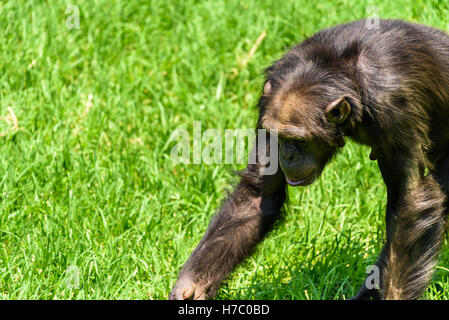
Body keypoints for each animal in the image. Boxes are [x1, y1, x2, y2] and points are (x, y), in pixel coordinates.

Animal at [169, 19, 448, 300]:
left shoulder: (393, 105)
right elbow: (259, 195)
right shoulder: (269, 100)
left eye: (299, 140)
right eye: (277, 136)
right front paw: (193, 284)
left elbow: (410, 202)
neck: (340, 70)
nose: (287, 154)